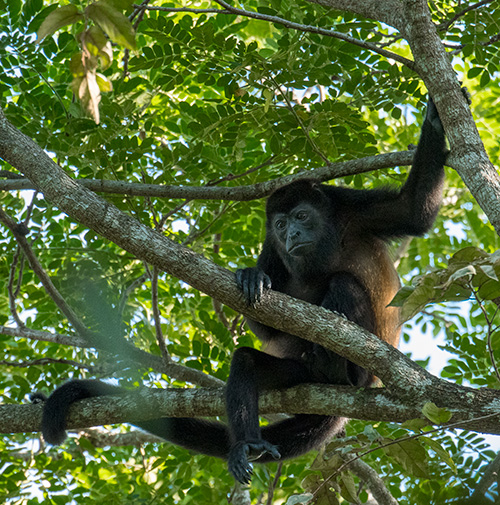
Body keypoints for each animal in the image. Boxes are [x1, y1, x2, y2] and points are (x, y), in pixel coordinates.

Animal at [36, 95, 450, 484]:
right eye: (281, 225)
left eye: (301, 217)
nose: (292, 234)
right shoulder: (272, 249)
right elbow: (267, 326)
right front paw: (252, 278)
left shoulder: (350, 204)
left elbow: (413, 211)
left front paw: (435, 121)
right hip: (296, 375)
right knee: (248, 362)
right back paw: (248, 443)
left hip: (361, 376)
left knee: (344, 284)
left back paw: (334, 366)